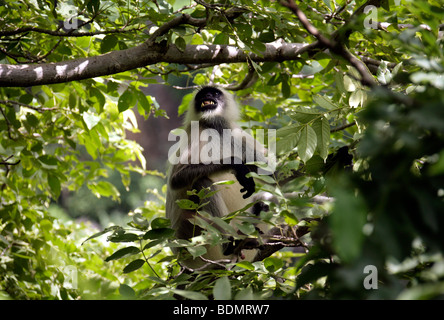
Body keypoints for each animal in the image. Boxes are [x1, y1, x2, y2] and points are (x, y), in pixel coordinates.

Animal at [166, 85, 272, 270]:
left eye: (214, 93)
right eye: (202, 95)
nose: (207, 95)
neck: (213, 126)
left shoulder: (232, 131)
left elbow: (271, 171)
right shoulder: (196, 131)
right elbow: (176, 180)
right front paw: (236, 164)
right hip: (196, 238)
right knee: (202, 182)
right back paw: (229, 245)